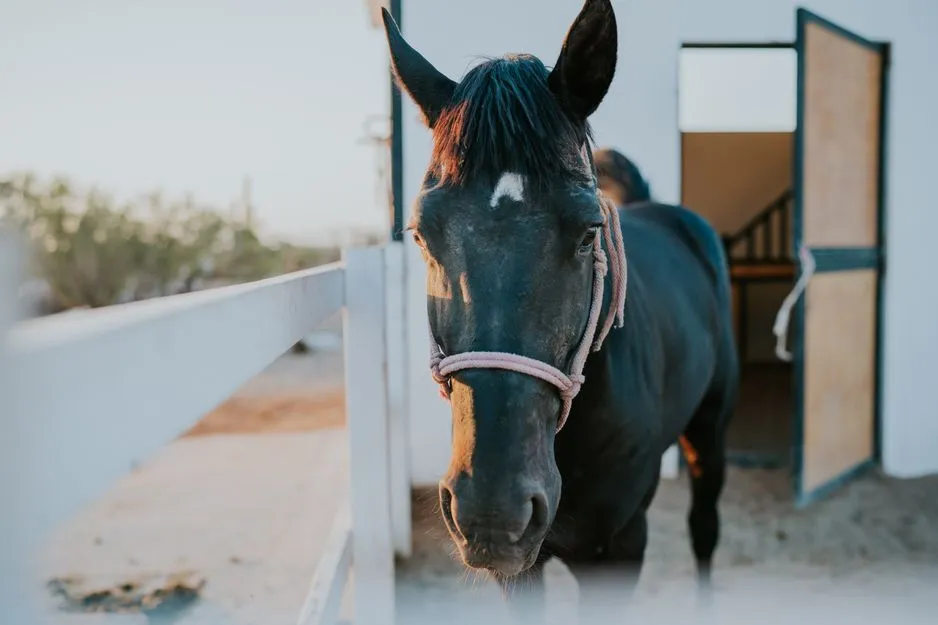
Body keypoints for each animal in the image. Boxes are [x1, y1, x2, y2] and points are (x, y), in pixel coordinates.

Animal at [380, 0, 738, 620]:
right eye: (421, 232)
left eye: (589, 230)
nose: (492, 509)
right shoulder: (522, 572)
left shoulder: (619, 550)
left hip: (709, 433)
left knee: (703, 532)